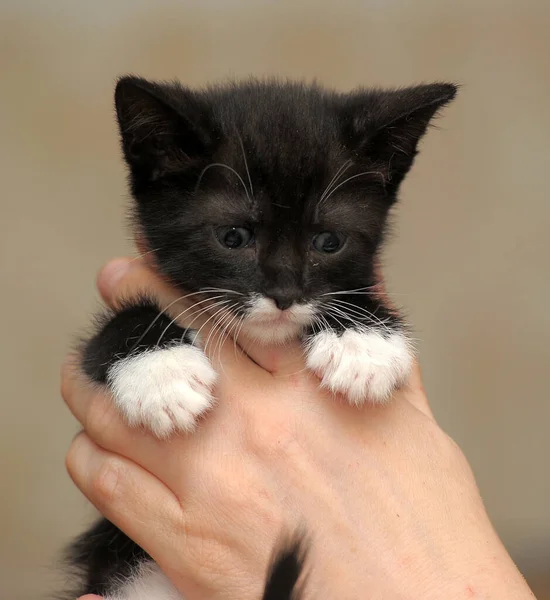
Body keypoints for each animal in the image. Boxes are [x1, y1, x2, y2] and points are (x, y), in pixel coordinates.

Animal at [66, 77, 458, 596]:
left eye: (328, 242)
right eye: (233, 236)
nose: (284, 293)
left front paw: (363, 344)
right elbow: (106, 336)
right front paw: (163, 375)